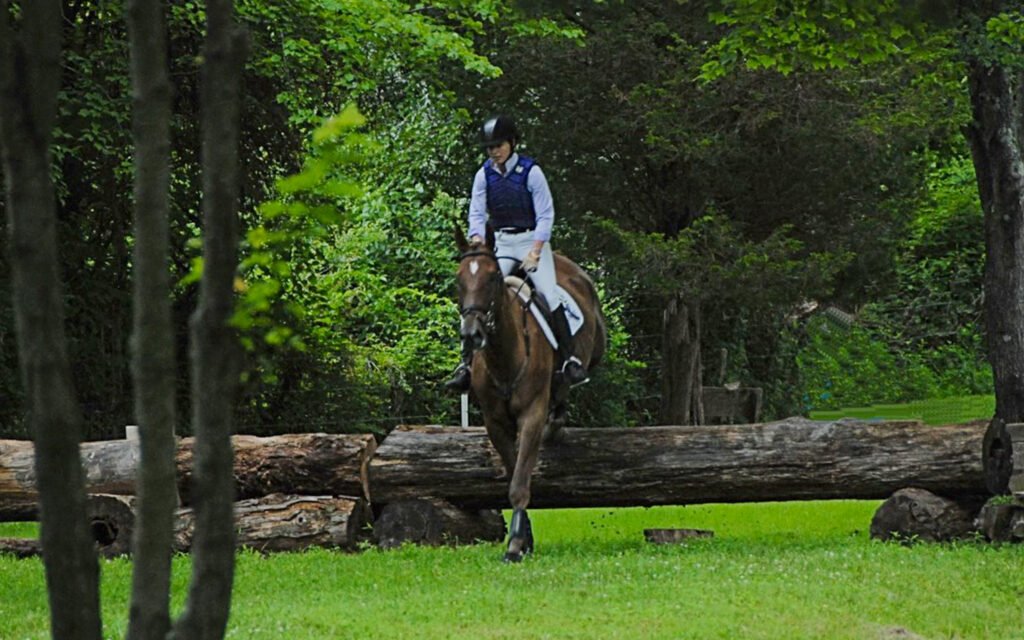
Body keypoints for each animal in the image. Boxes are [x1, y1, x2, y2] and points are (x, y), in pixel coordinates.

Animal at [454, 227, 606, 562]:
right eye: (459, 279)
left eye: (493, 278)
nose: (471, 335)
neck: (504, 353)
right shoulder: (496, 423)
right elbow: (514, 474)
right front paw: (524, 539)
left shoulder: (531, 415)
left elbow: (520, 482)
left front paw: (514, 546)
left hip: (595, 349)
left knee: (568, 384)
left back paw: (560, 410)